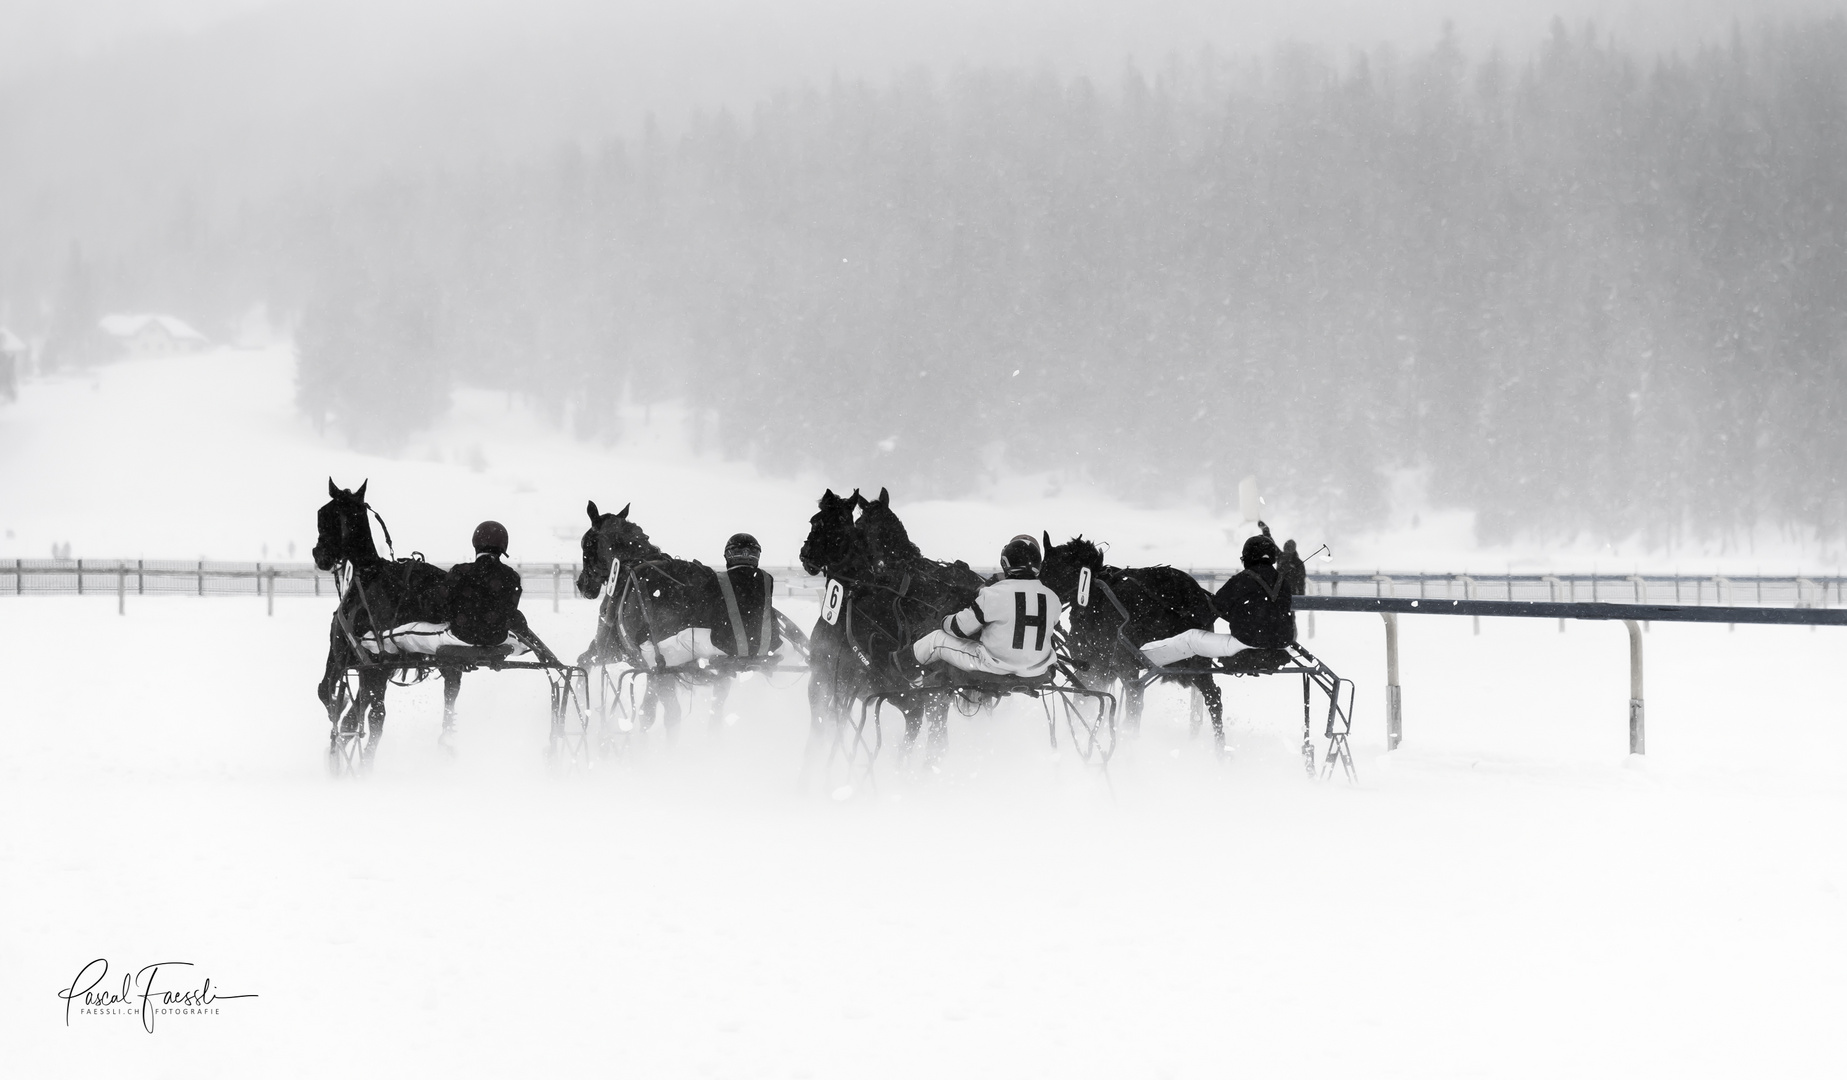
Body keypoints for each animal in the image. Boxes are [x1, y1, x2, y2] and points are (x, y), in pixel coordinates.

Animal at [312, 476, 459, 760]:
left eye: (327, 515)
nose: (319, 554)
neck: (367, 581)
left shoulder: (368, 661)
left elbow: (361, 712)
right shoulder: (349, 657)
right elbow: (335, 698)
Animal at [1041, 531, 1226, 749]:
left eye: (1046, 570)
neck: (1095, 594)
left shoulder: (1102, 666)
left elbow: (1090, 700)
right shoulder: (1103, 669)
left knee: (1136, 702)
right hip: (1197, 664)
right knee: (1213, 698)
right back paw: (1222, 750)